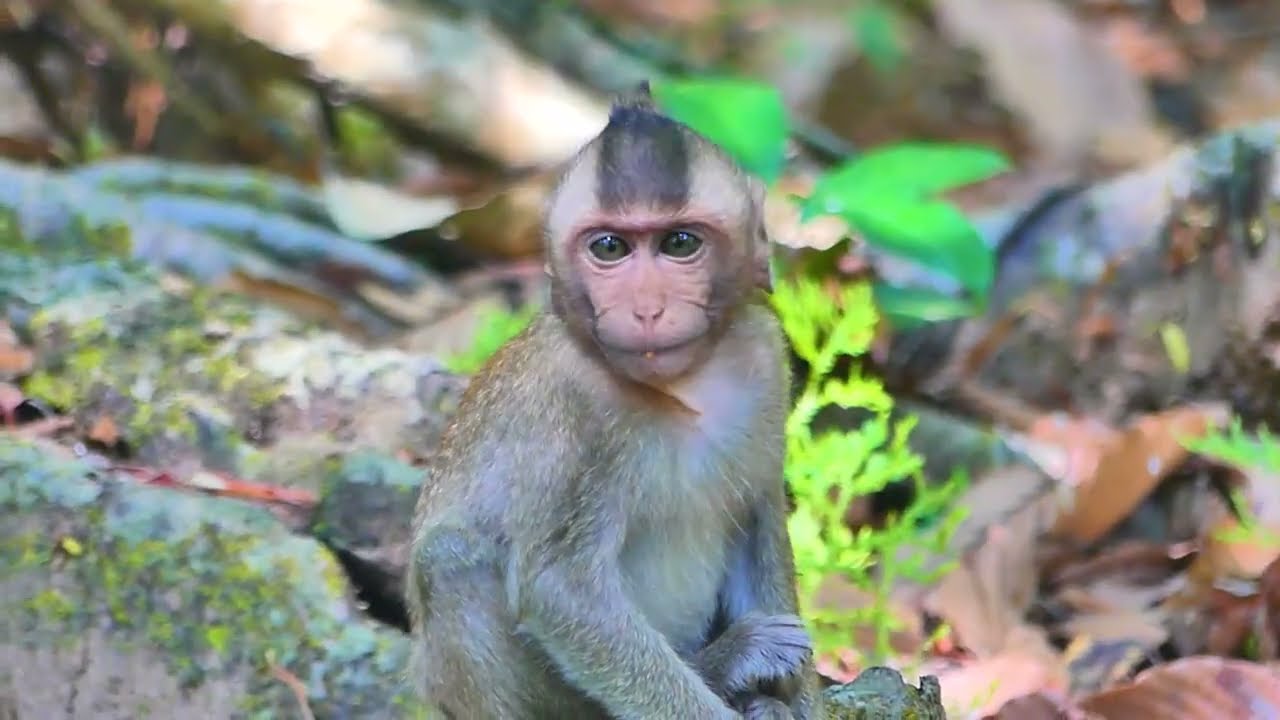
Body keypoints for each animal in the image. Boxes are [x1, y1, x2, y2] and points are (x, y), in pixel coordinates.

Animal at [406, 86, 824, 720]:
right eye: (610, 247)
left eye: (680, 243)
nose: (647, 308)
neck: (681, 391)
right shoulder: (569, 407)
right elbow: (561, 588)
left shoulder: (764, 362)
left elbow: (758, 515)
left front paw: (796, 699)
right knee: (452, 561)